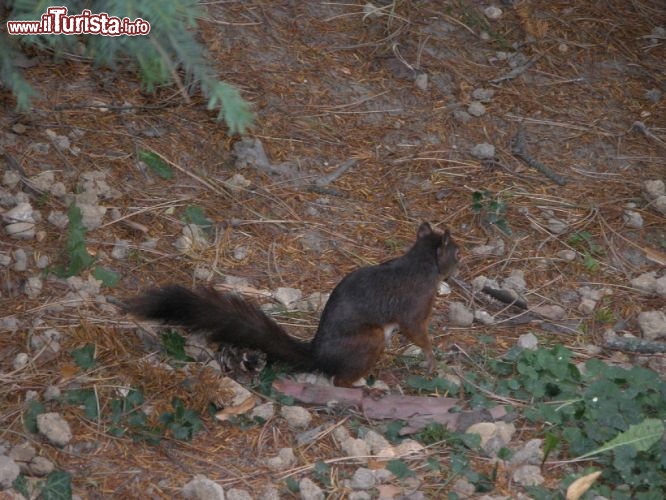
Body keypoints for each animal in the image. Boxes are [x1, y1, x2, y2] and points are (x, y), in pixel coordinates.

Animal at [124, 222, 456, 386]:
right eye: (456, 250)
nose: (460, 265)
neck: (419, 262)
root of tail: (318, 356)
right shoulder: (415, 306)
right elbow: (417, 331)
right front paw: (431, 358)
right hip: (369, 340)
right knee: (339, 380)